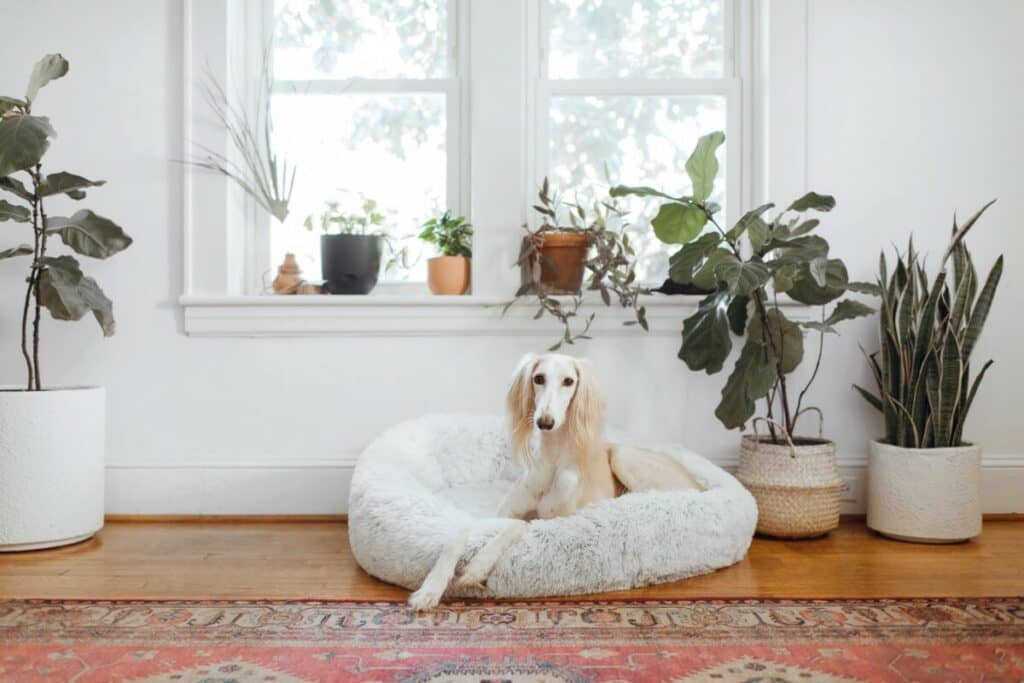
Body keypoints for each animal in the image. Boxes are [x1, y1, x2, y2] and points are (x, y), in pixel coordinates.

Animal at [407, 352, 704, 610]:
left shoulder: (553, 522)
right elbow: (460, 535)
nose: (545, 422)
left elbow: (518, 526)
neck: (551, 463)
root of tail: (700, 483)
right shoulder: (499, 514)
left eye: (568, 381)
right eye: (538, 378)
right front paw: (429, 590)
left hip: (624, 456)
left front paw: (477, 567)